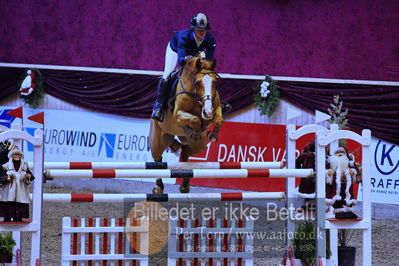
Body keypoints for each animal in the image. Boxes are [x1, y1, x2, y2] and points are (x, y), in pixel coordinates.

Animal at [151, 56, 223, 193]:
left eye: (215, 82)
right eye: (198, 82)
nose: (207, 112)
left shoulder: (215, 107)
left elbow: (218, 120)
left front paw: (212, 134)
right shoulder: (178, 113)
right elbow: (195, 119)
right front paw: (197, 129)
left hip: (198, 145)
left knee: (185, 153)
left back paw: (184, 185)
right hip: (158, 139)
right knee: (157, 159)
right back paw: (158, 187)